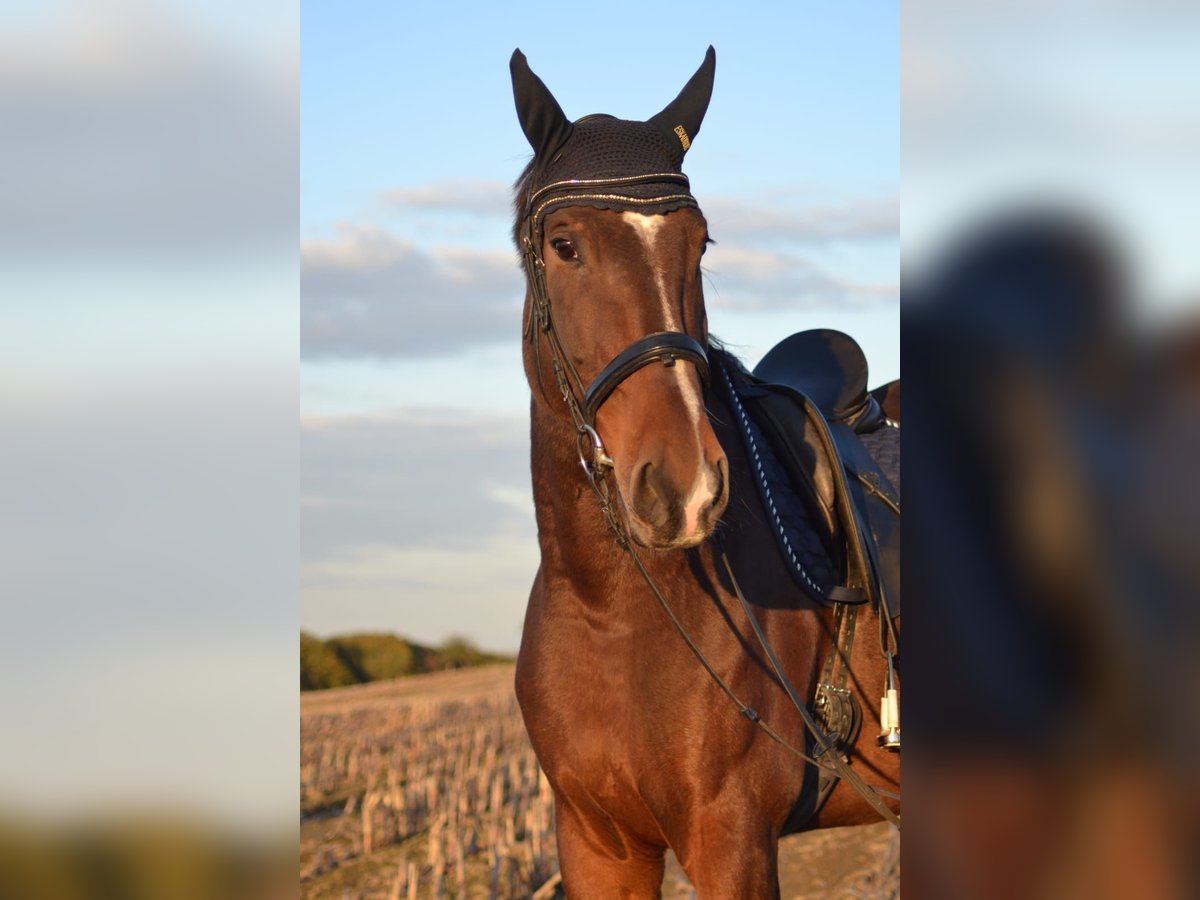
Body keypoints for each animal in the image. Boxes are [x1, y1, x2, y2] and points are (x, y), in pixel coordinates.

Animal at [508, 47, 902, 897]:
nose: (683, 487)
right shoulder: (597, 845)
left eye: (700, 244)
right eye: (564, 244)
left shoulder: (731, 841)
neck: (608, 610)